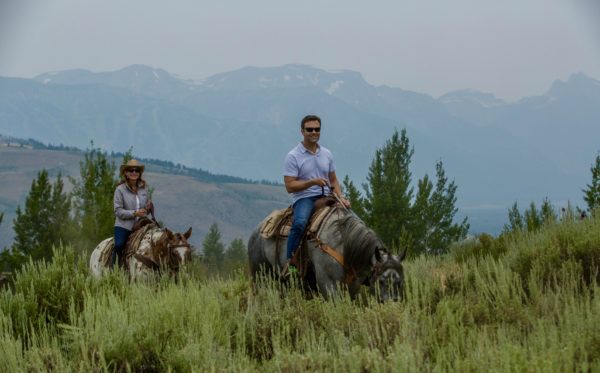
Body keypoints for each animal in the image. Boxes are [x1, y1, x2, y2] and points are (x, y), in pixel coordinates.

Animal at [246, 205, 406, 300]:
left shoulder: (353, 286)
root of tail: (256, 231)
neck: (345, 243)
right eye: (382, 281)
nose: (392, 304)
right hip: (260, 277)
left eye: (400, 282)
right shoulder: (328, 284)